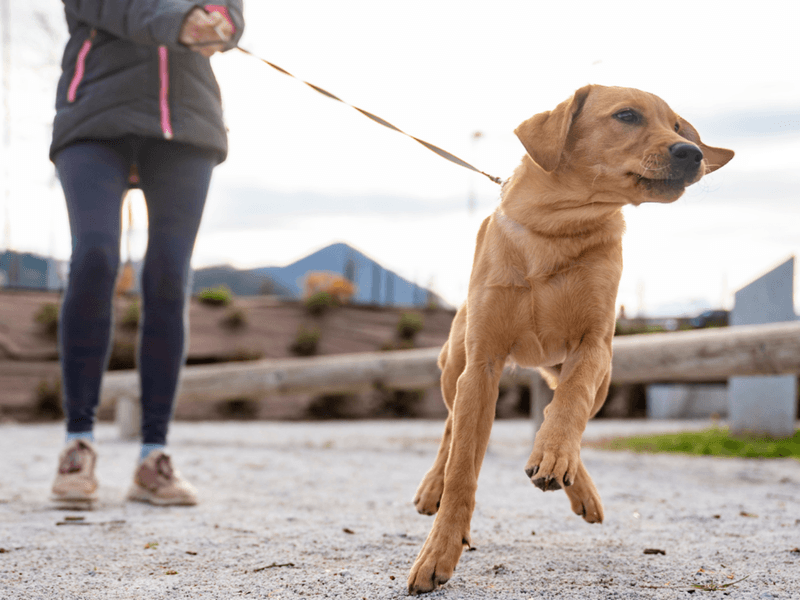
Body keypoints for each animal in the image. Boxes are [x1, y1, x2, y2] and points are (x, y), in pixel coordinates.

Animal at [410, 85, 736, 596]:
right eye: (627, 116)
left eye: (678, 126)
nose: (693, 152)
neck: (556, 228)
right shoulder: (482, 364)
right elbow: (462, 467)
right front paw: (438, 550)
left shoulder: (593, 346)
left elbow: (569, 405)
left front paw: (554, 455)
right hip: (454, 368)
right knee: (449, 426)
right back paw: (433, 486)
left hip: (596, 374)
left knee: (563, 408)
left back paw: (567, 473)